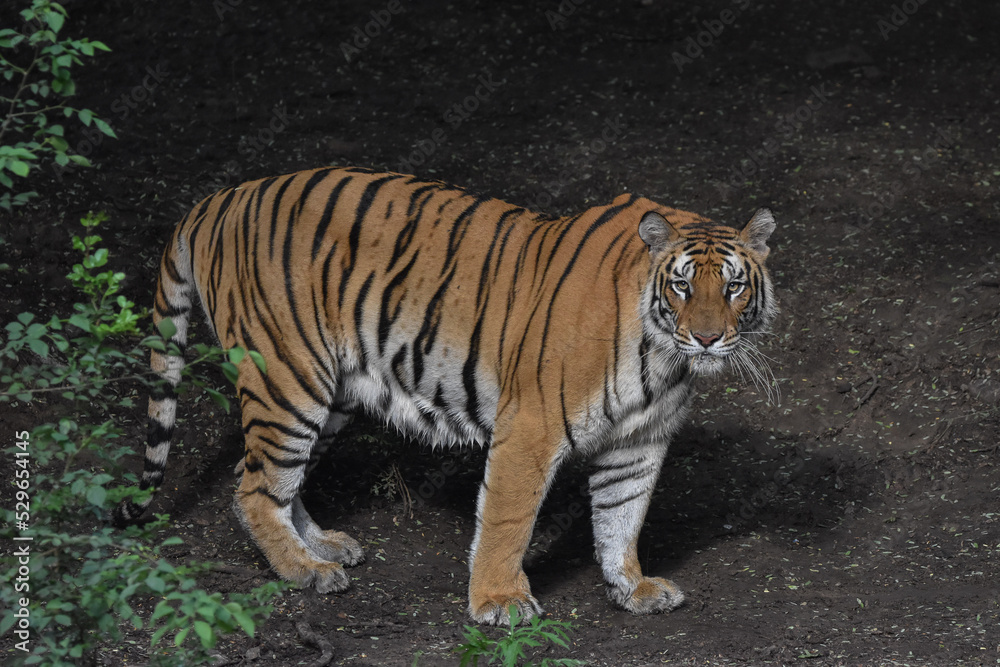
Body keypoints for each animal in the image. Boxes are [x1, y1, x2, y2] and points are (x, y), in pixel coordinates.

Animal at [112, 166, 777, 626]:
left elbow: (623, 517)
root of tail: (220, 198)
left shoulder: (639, 443)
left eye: (734, 286)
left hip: (331, 394)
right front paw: (498, 602)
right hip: (287, 379)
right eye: (683, 286)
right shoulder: (530, 428)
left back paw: (323, 546)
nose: (708, 337)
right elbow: (509, 520)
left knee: (274, 481)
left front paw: (631, 587)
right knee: (253, 489)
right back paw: (306, 572)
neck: (663, 356)